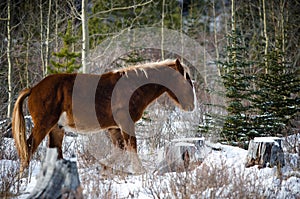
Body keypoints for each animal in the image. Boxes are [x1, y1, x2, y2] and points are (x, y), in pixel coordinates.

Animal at [11, 59, 195, 173]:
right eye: (186, 79)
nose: (191, 106)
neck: (132, 86)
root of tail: (33, 89)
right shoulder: (125, 124)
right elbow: (131, 147)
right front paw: (140, 172)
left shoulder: (114, 128)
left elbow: (118, 151)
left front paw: (102, 169)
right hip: (44, 125)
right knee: (28, 149)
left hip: (57, 129)